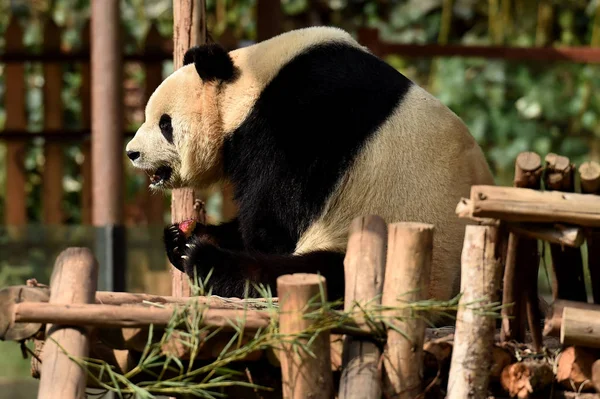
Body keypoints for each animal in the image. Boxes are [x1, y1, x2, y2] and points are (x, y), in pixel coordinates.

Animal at [124, 27, 494, 310]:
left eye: (165, 124)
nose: (132, 152)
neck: (248, 88)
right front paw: (182, 235)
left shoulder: (301, 121)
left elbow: (276, 221)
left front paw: (198, 244)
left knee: (317, 274)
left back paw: (206, 261)